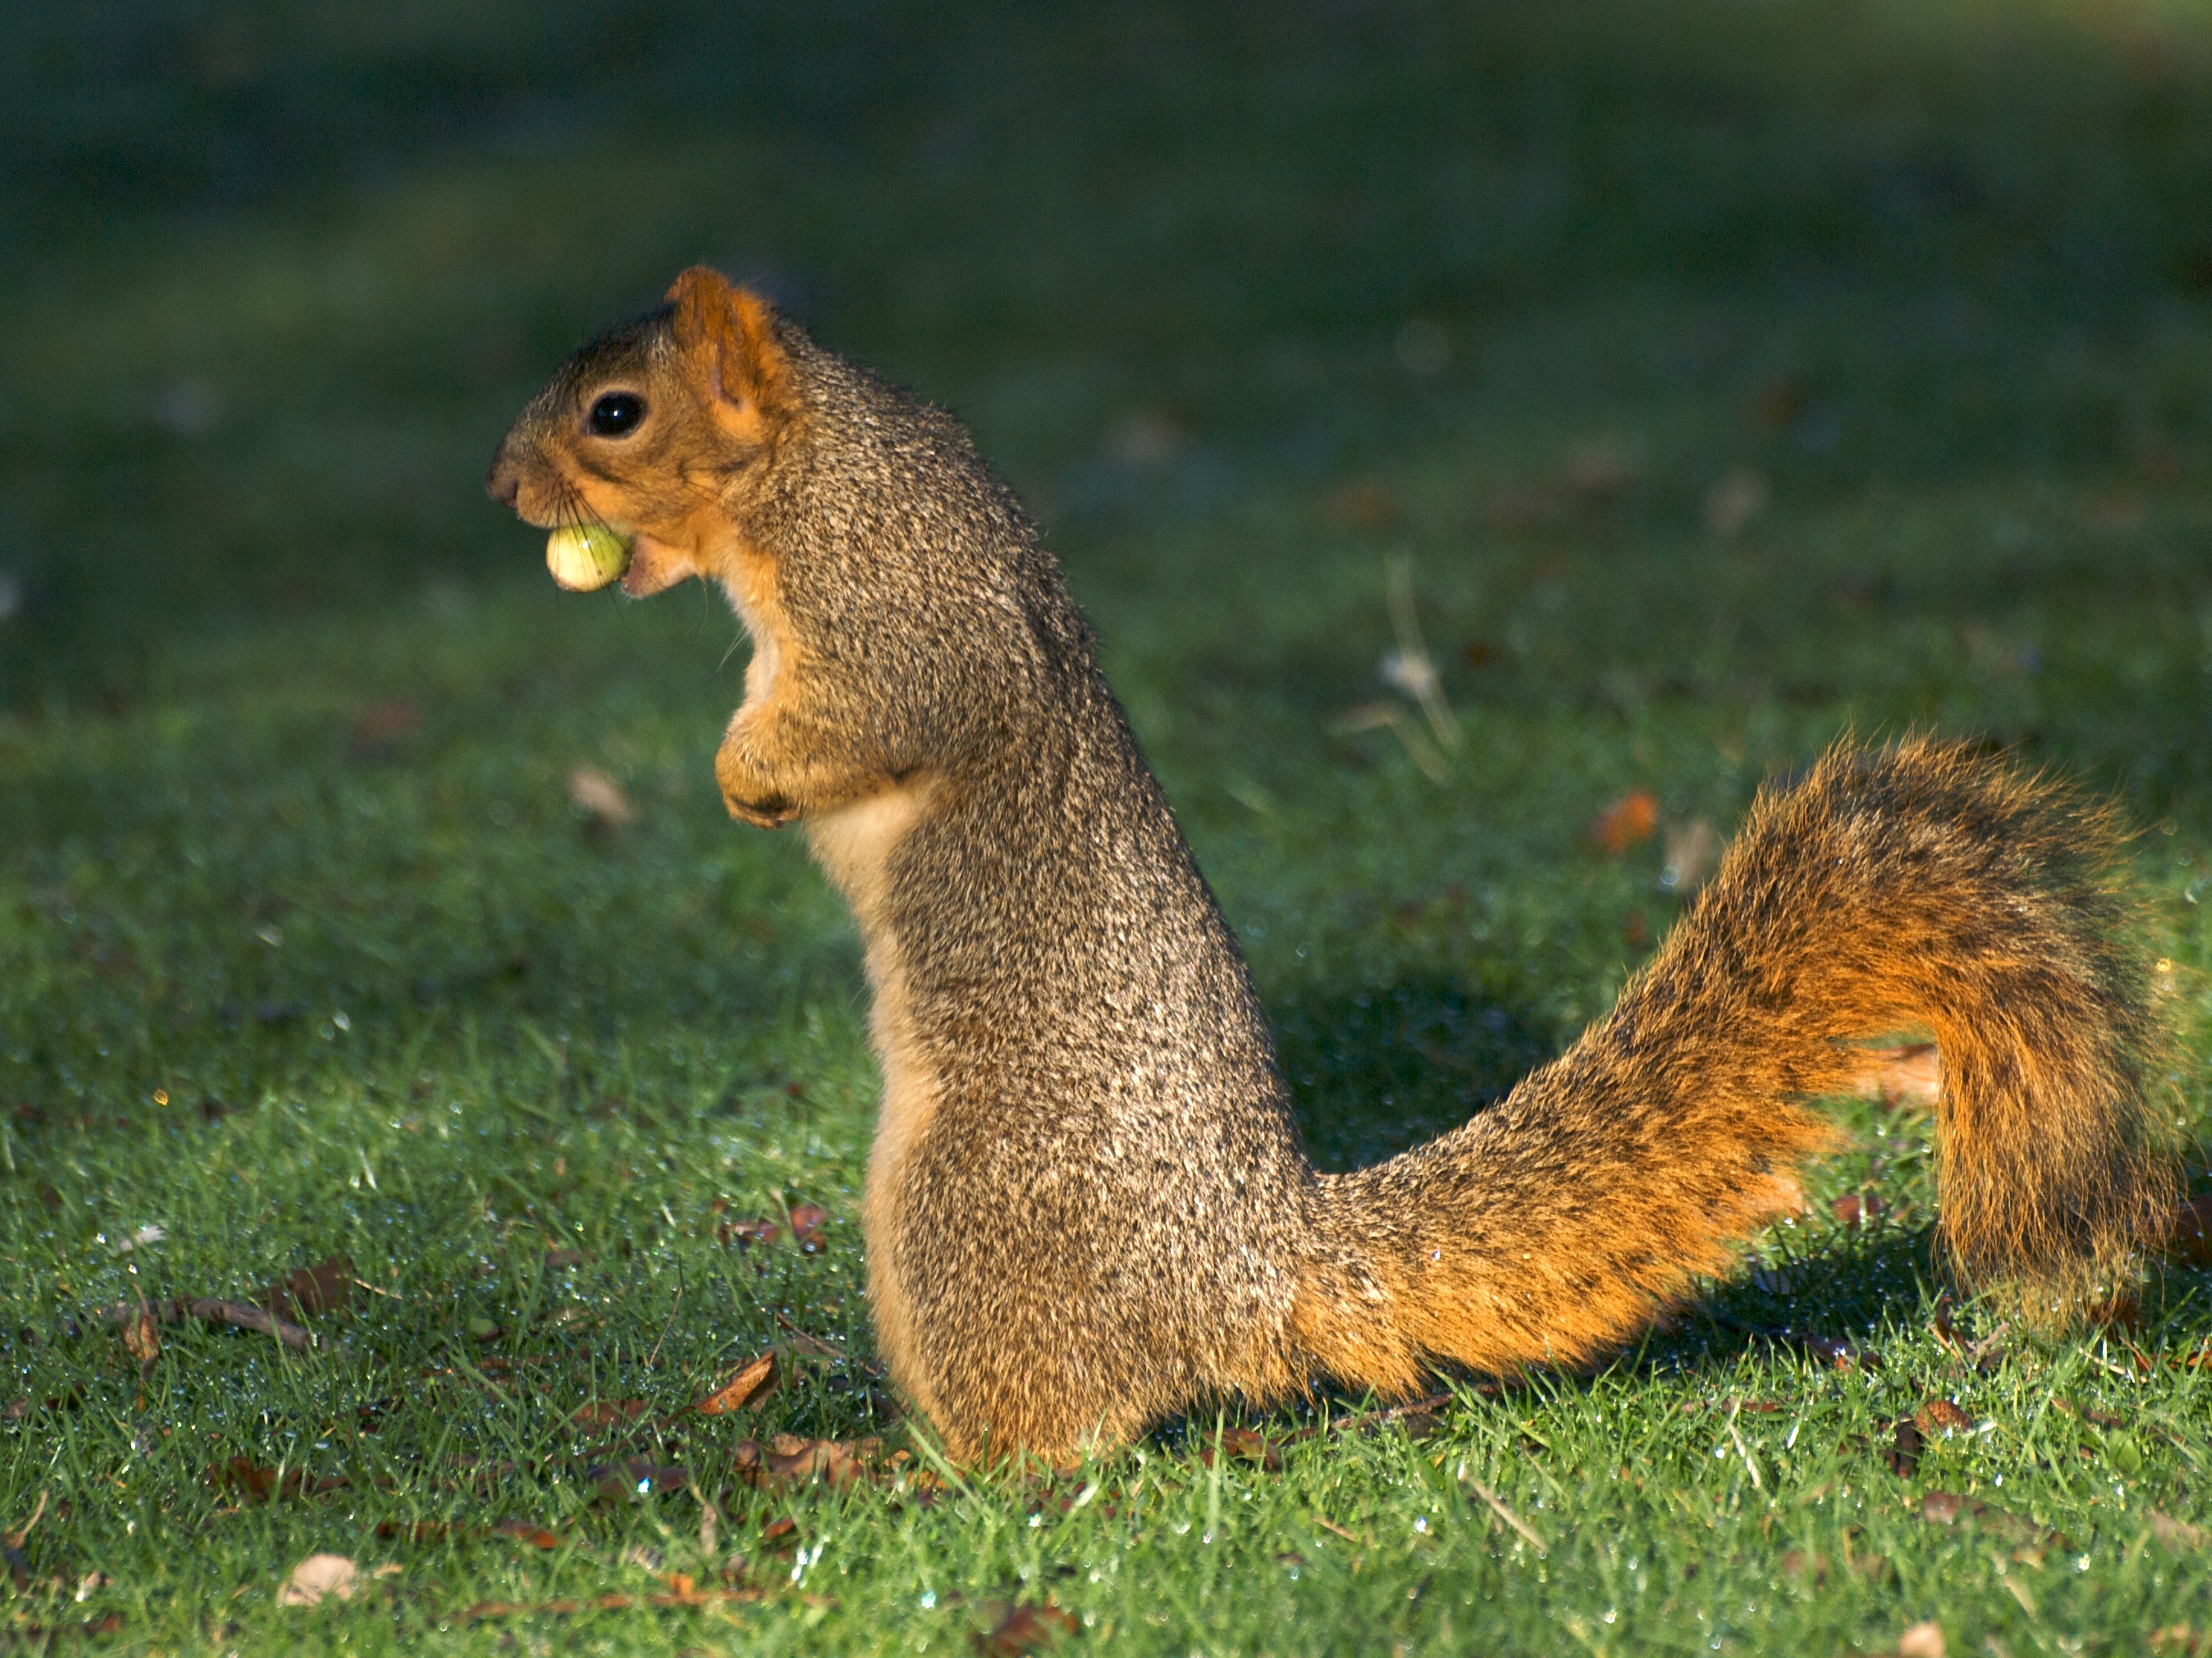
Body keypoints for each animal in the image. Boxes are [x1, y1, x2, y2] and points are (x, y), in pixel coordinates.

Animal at [488, 266, 2176, 1458]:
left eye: (615, 414)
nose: (504, 489)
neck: (809, 466)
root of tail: (1251, 1262)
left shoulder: (891, 606)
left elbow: (873, 707)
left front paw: (743, 776)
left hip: (960, 1211)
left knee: (1067, 1433)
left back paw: (897, 1466)